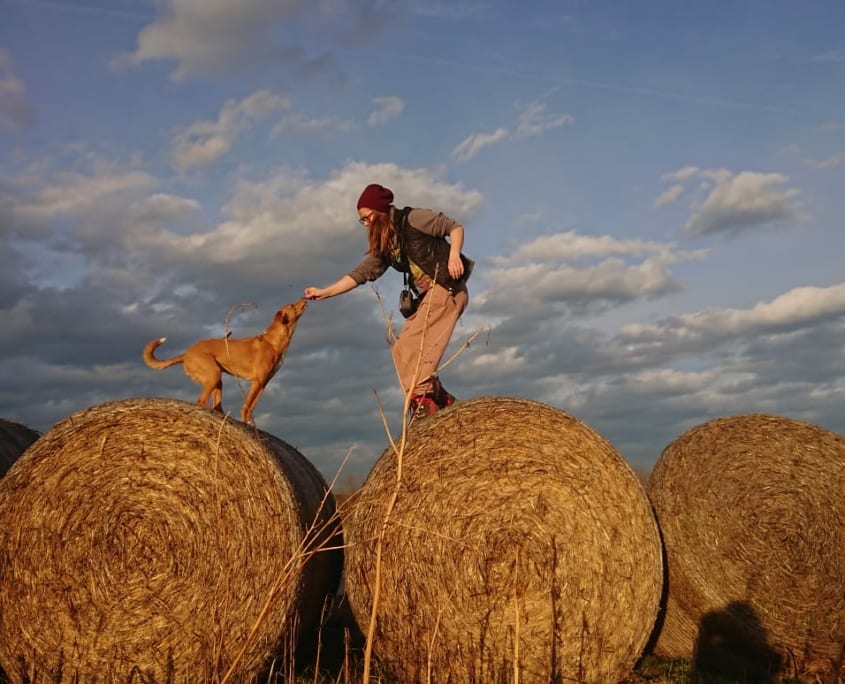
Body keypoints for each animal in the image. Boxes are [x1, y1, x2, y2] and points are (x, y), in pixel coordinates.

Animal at [143, 298, 308, 422]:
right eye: (292, 305)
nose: (305, 297)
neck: (272, 341)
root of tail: (187, 353)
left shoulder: (263, 384)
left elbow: (251, 408)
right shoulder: (257, 381)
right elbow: (246, 407)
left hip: (217, 380)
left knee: (216, 406)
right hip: (214, 374)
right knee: (201, 401)